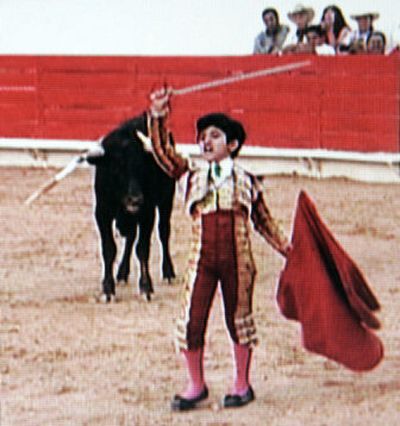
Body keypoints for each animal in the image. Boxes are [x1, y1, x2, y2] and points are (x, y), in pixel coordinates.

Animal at [87, 111, 175, 302]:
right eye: (116, 168)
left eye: (142, 168)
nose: (135, 200)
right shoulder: (102, 213)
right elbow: (109, 248)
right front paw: (108, 288)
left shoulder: (147, 213)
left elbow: (142, 248)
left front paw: (146, 288)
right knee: (130, 237)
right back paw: (122, 273)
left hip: (166, 199)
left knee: (163, 232)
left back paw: (168, 272)